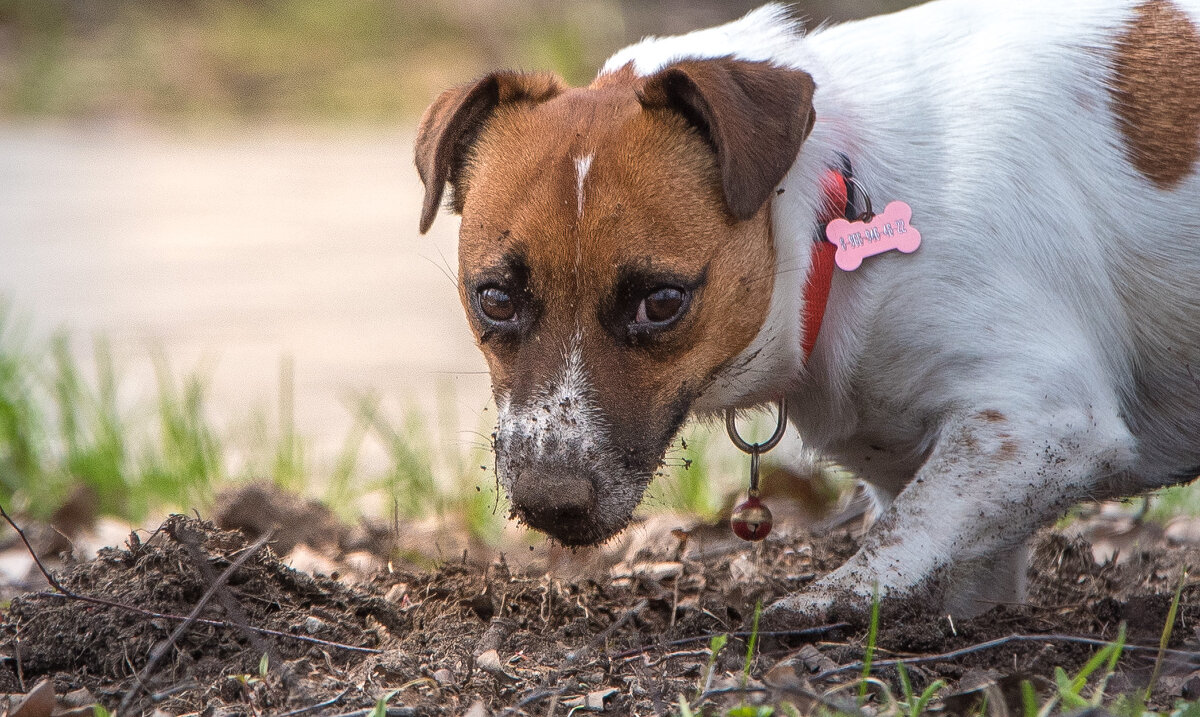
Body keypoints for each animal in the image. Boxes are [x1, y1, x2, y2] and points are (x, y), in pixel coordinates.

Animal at [415, 1, 1200, 623]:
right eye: (495, 297)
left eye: (662, 302)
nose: (550, 503)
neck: (828, 210)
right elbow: (957, 560)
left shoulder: (1042, 423)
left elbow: (901, 535)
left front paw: (825, 602)